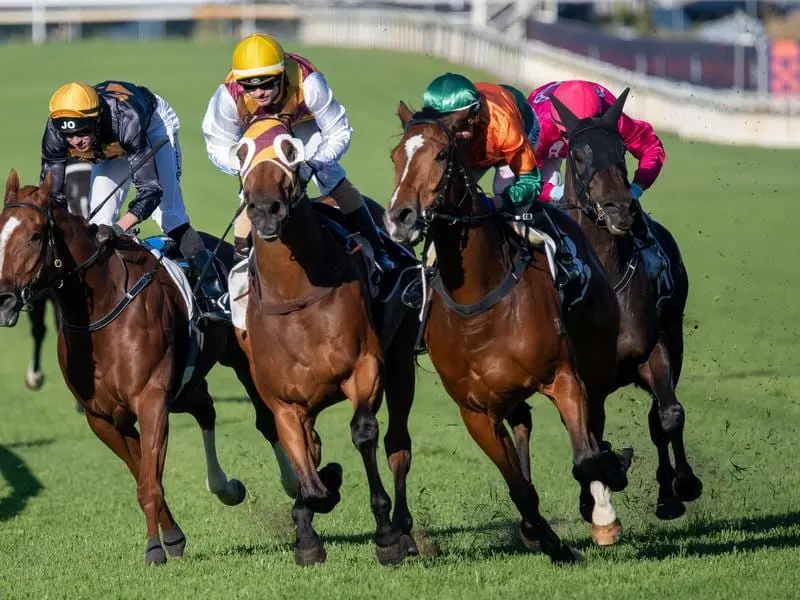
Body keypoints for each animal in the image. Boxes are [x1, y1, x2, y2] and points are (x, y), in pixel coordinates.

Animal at [0, 170, 296, 568]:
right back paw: (225, 486)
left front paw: (155, 547)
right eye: (0, 231)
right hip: (185, 383)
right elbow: (143, 472)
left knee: (265, 419)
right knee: (206, 408)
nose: (3, 300)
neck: (102, 312)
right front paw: (173, 537)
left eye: (34, 235)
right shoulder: (103, 417)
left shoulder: (152, 399)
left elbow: (149, 481)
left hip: (240, 360)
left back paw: (293, 484)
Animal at [230, 117, 418, 568]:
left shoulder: (365, 367)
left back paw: (404, 531)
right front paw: (308, 533)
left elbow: (363, 433)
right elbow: (308, 470)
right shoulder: (284, 403)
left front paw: (386, 535)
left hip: (401, 360)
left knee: (397, 444)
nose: (264, 208)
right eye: (241, 152)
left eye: (290, 148)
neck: (296, 296)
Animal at [384, 101, 636, 564]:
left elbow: (585, 457)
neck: (480, 303)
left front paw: (603, 515)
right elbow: (519, 487)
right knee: (524, 425)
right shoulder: (475, 412)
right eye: (396, 157)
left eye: (442, 156)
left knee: (593, 425)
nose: (399, 217)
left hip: (595, 360)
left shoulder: (564, 377)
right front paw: (547, 539)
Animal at [548, 90, 704, 520]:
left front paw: (682, 484)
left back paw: (667, 490)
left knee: (657, 417)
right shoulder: (585, 375)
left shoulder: (655, 349)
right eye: (578, 155)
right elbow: (593, 430)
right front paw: (593, 496)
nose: (620, 208)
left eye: (621, 151)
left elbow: (668, 415)